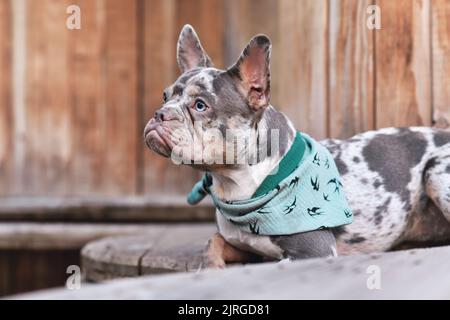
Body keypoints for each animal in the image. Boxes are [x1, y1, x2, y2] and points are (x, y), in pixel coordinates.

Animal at [144, 25, 450, 268]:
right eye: (165, 96)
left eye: (200, 105)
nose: (160, 114)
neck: (237, 185)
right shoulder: (242, 244)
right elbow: (212, 243)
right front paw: (210, 268)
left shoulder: (312, 252)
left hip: (436, 171)